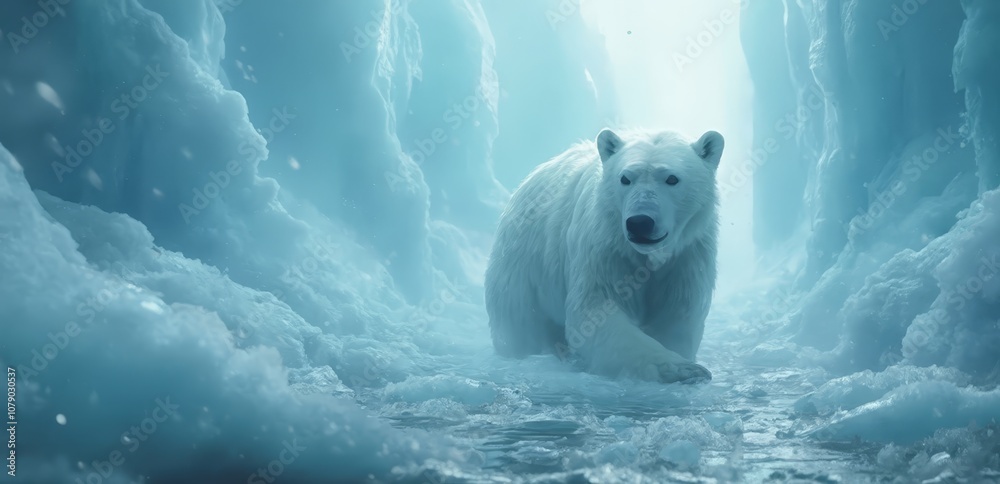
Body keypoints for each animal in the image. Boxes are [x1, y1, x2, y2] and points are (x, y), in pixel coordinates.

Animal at [484, 127, 724, 383]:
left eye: (672, 178)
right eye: (625, 178)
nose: (640, 223)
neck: (645, 255)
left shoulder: (687, 255)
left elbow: (677, 311)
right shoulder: (606, 249)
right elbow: (596, 310)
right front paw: (681, 369)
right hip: (525, 266)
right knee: (521, 324)